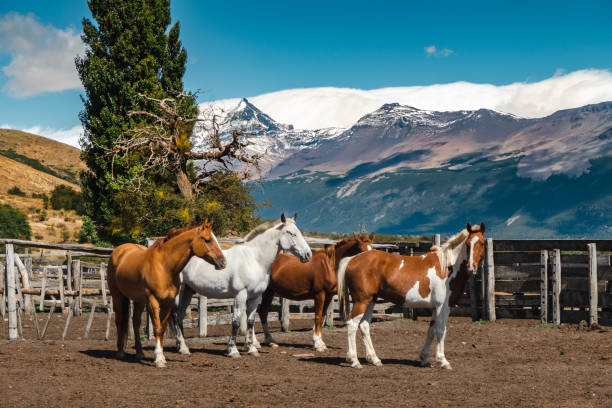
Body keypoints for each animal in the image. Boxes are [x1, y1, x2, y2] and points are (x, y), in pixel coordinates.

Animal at [108, 222, 227, 368]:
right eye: (207, 240)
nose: (223, 262)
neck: (164, 266)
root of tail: (119, 250)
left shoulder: (168, 302)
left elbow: (163, 328)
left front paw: (161, 356)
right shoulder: (153, 301)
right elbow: (157, 328)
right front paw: (159, 359)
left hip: (138, 300)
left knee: (135, 322)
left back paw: (140, 352)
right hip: (117, 295)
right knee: (119, 320)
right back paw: (120, 352)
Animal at [176, 214, 314, 356]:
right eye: (291, 233)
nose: (308, 254)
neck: (254, 259)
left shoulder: (256, 296)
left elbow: (251, 321)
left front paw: (252, 349)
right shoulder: (240, 295)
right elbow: (236, 321)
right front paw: (233, 350)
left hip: (187, 291)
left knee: (179, 316)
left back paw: (182, 347)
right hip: (179, 292)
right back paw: (182, 347)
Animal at [338, 223, 486, 370]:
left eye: (482, 243)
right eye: (467, 244)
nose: (471, 267)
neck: (447, 268)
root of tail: (352, 259)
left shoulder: (435, 308)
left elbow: (431, 330)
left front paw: (425, 359)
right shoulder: (443, 307)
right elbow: (440, 331)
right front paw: (443, 361)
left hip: (371, 301)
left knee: (364, 325)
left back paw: (375, 359)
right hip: (361, 301)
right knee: (352, 324)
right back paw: (355, 361)